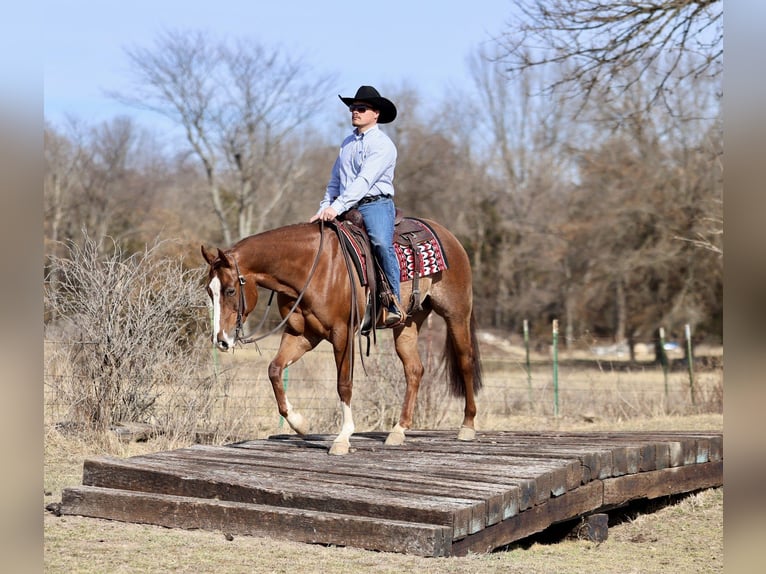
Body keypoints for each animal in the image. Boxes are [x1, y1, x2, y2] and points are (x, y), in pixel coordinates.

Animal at [201, 218, 483, 455]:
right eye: (208, 290)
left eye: (229, 290)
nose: (221, 340)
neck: (312, 268)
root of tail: (447, 235)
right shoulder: (302, 334)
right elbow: (275, 369)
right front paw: (300, 423)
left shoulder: (342, 333)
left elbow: (344, 384)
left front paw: (343, 438)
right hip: (409, 323)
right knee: (414, 370)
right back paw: (398, 430)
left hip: (456, 314)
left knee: (465, 361)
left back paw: (467, 426)